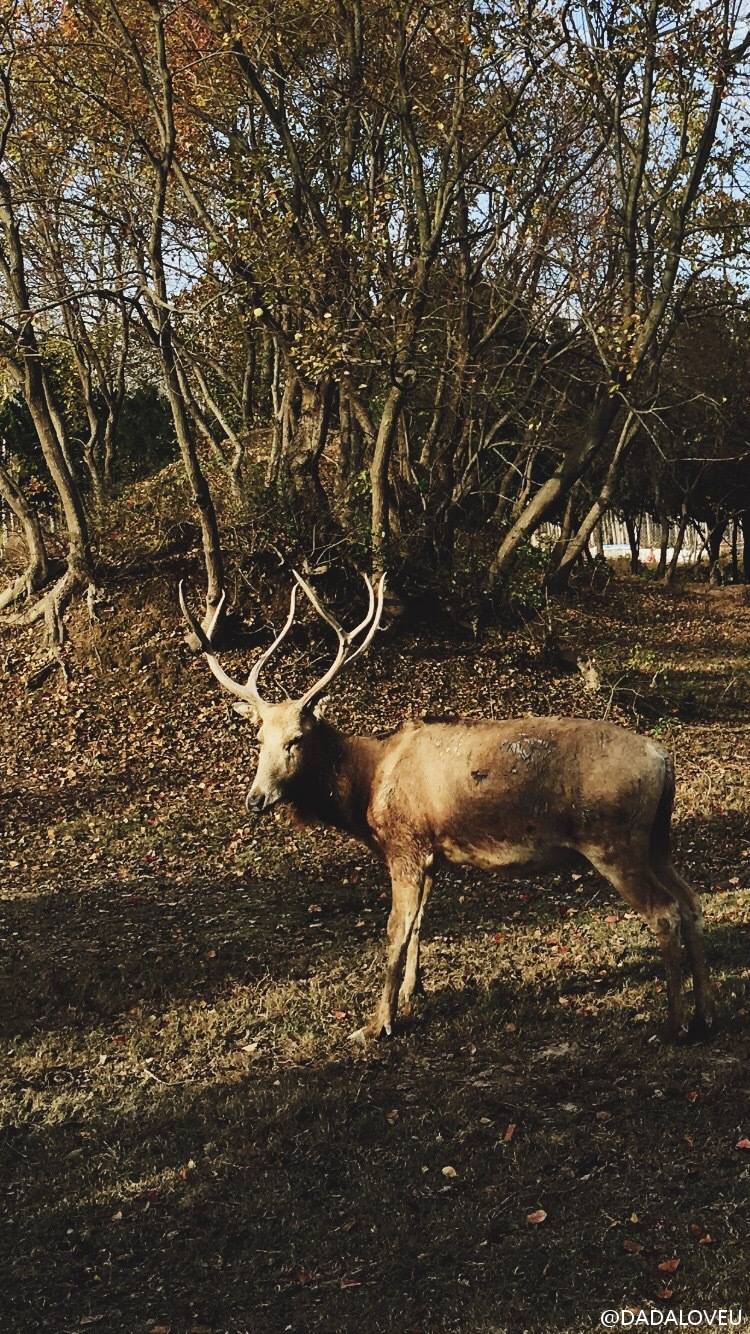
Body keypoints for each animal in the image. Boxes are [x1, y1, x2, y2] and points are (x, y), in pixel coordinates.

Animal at [180, 573, 709, 1040]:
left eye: (296, 739)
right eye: (258, 739)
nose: (256, 799)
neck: (368, 792)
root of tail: (663, 758)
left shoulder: (405, 845)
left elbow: (395, 930)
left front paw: (377, 1024)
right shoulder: (431, 853)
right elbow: (418, 925)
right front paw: (412, 993)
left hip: (613, 840)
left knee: (664, 912)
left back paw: (674, 1024)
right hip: (656, 839)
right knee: (691, 903)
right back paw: (705, 1014)